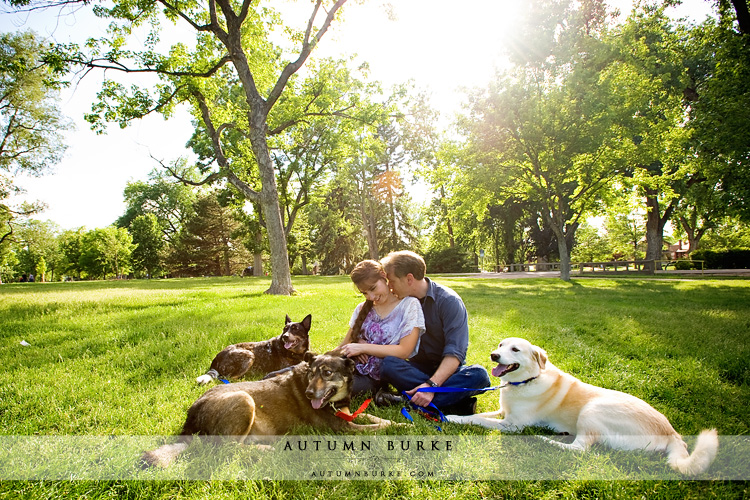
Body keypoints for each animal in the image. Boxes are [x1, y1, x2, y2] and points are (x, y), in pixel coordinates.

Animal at [144, 354, 396, 466]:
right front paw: (401, 424)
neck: (335, 401)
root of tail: (190, 418)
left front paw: (397, 421)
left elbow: (374, 418)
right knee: (227, 448)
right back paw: (266, 449)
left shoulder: (348, 415)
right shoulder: (344, 428)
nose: (308, 394)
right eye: (311, 373)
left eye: (327, 373)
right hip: (244, 399)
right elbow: (376, 429)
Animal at [450, 338, 720, 474]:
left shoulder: (513, 426)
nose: (494, 355)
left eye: (515, 349)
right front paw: (454, 415)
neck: (527, 380)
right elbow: (483, 414)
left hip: (594, 409)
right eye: (500, 346)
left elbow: (479, 419)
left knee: (581, 449)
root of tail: (671, 433)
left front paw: (453, 418)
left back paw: (545, 439)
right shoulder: (503, 413)